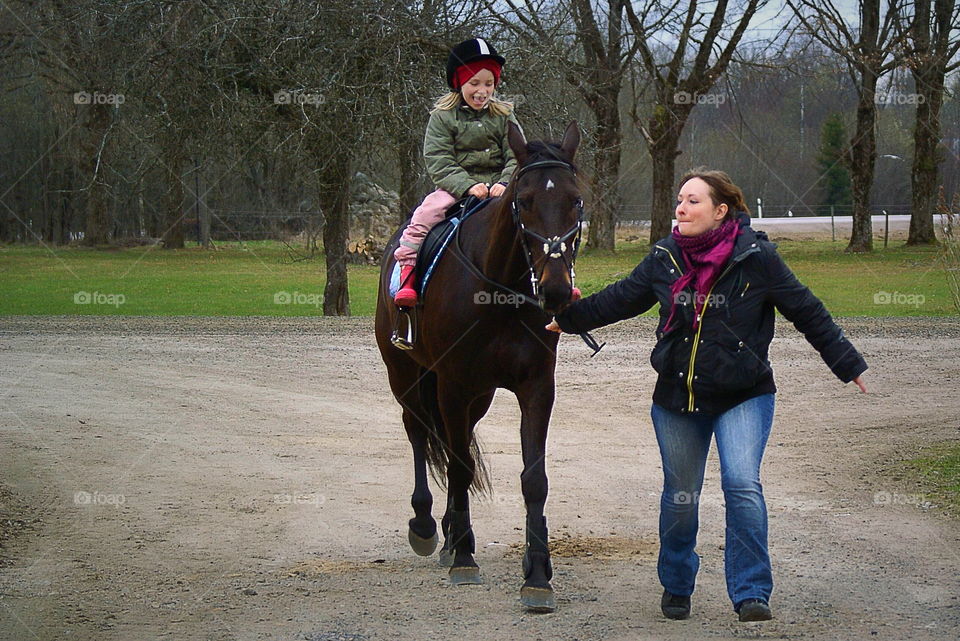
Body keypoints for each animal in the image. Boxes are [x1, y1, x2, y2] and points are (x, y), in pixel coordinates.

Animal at [374, 121, 585, 612]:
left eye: (575, 199)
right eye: (524, 201)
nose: (555, 289)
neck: (500, 293)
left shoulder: (535, 388)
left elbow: (533, 479)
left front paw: (538, 575)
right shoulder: (453, 385)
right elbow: (459, 466)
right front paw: (465, 558)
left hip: (478, 396)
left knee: (456, 441)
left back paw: (451, 533)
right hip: (406, 376)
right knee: (420, 434)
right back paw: (427, 527)